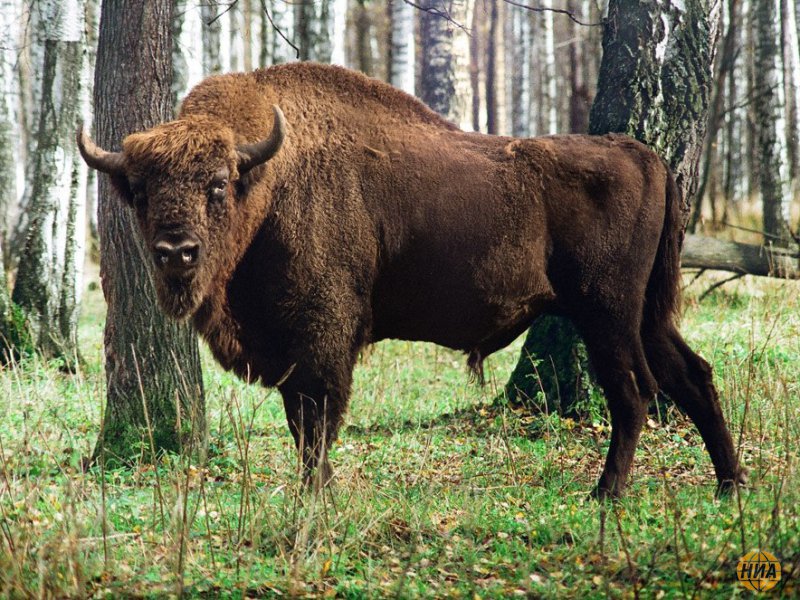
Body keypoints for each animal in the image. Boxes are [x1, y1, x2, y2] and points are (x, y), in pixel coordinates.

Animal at [79, 63, 744, 500]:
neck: (268, 179)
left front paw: (315, 497)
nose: (177, 252)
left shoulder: (321, 338)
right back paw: (729, 484)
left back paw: (606, 493)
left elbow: (317, 422)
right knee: (693, 375)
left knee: (633, 393)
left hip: (607, 314)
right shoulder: (294, 349)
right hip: (646, 314)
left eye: (217, 184)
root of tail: (643, 154)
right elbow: (302, 422)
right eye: (139, 190)